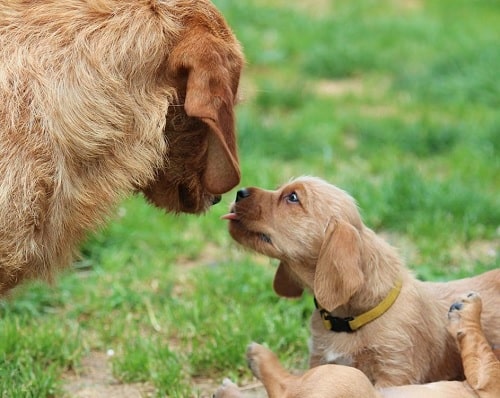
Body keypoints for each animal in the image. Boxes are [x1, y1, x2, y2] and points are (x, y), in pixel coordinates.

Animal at [215, 292, 500, 398]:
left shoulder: (488, 380)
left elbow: (481, 345)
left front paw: (470, 310)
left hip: (350, 378)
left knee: (284, 388)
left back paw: (254, 359)